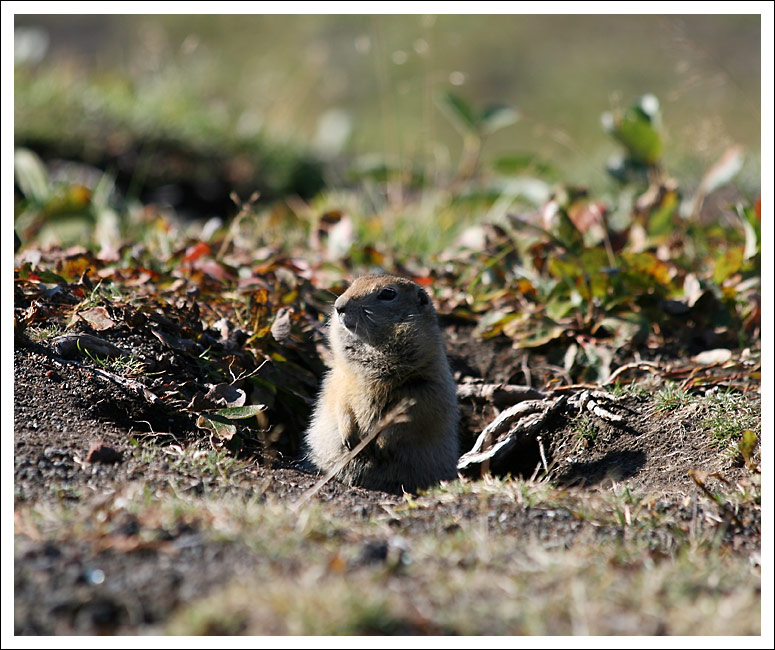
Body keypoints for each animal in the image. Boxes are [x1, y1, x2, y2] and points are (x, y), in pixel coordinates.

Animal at [304, 272, 460, 492]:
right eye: (353, 283)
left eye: (388, 294)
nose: (338, 305)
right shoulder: (339, 380)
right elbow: (340, 403)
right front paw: (350, 438)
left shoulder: (424, 388)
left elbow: (408, 418)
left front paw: (380, 446)